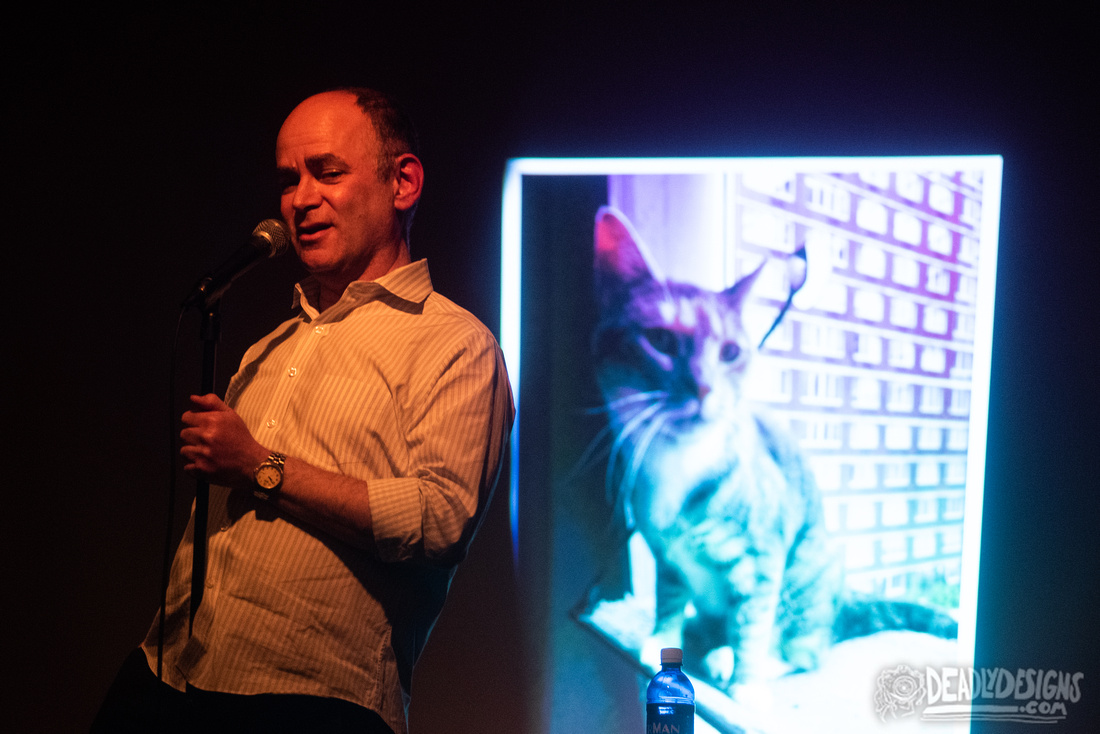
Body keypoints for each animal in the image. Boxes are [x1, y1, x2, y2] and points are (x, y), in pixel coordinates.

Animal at [589, 205, 959, 699]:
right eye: (661, 340)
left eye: (730, 352)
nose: (704, 388)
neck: (678, 466)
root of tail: (839, 605)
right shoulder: (665, 557)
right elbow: (668, 599)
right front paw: (659, 641)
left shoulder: (764, 557)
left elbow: (751, 624)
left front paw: (745, 683)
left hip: (806, 573)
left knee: (802, 650)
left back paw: (736, 659)